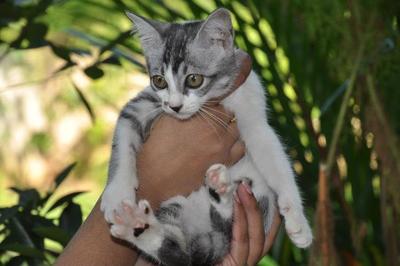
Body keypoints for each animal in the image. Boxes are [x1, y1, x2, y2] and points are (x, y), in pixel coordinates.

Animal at [101, 8, 312, 266]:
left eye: (194, 79)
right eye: (159, 80)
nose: (175, 106)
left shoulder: (253, 112)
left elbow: (275, 160)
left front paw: (298, 220)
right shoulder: (143, 104)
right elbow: (121, 142)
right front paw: (117, 193)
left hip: (255, 197)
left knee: (211, 236)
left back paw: (220, 192)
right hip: (175, 208)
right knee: (180, 254)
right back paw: (139, 227)